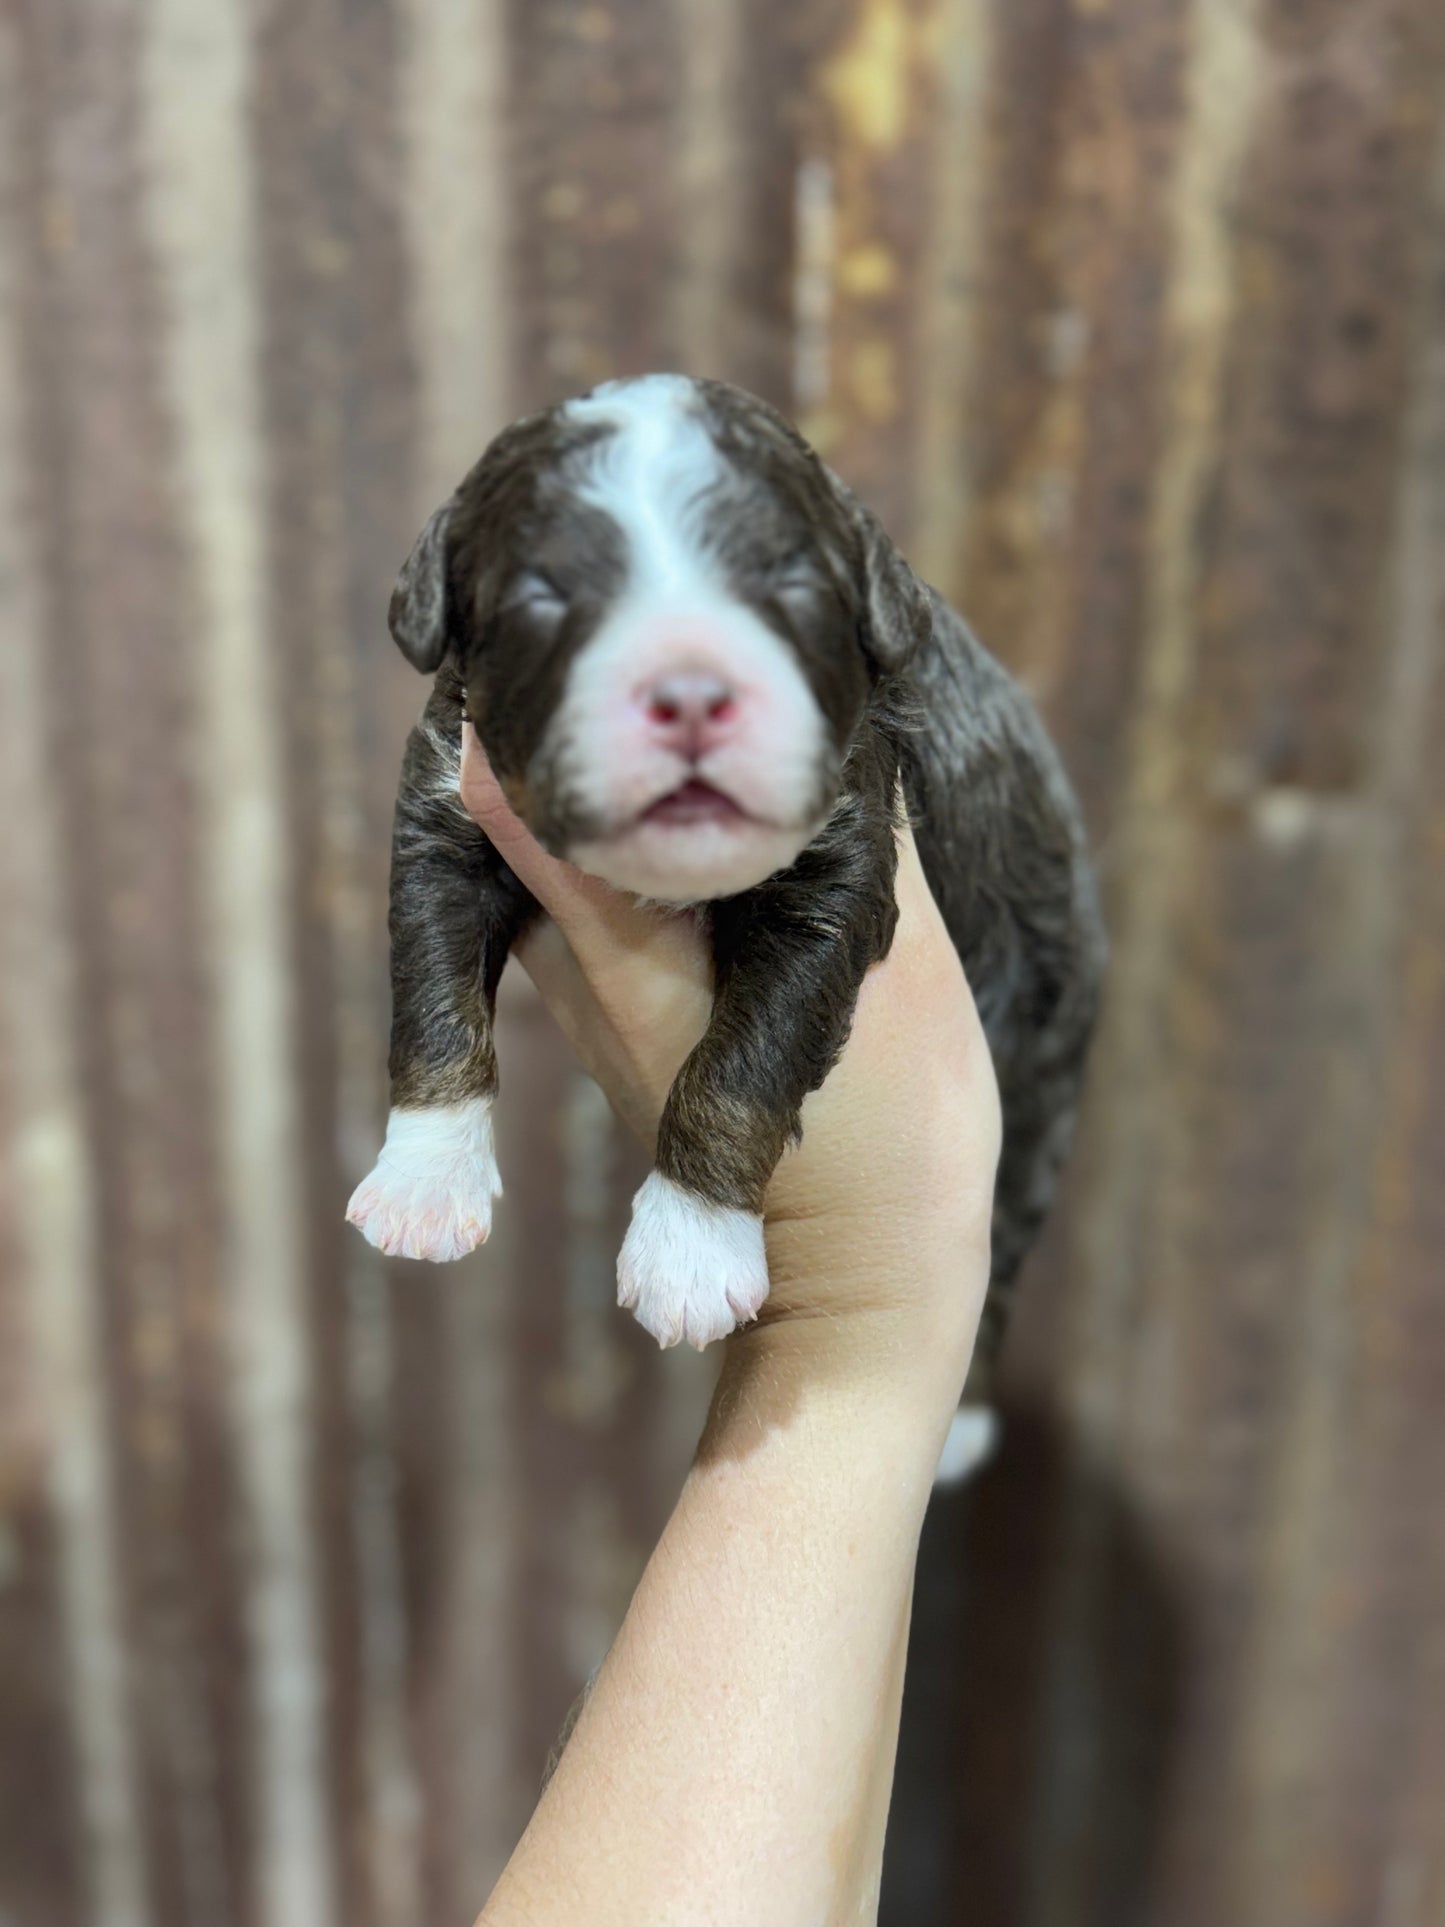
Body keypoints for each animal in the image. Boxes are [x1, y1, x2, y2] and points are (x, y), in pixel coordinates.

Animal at [350, 371, 1109, 1456]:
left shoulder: (833, 873)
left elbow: (743, 1061)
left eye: (791, 583)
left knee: (1004, 1237)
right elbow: (433, 998)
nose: (690, 693)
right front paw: (423, 1180)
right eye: (542, 594)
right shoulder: (443, 816)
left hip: (1043, 1070)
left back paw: (963, 1421)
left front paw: (688, 1245)